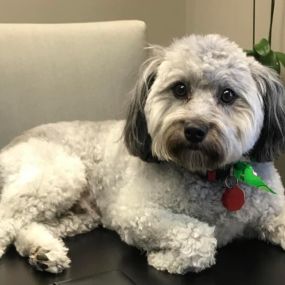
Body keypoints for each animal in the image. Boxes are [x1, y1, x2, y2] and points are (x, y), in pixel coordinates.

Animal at [0, 33, 284, 272]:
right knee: (8, 215)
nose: (194, 130)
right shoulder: (134, 213)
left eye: (227, 95)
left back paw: (42, 252)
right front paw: (164, 259)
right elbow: (200, 237)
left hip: (78, 214)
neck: (211, 175)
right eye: (180, 88)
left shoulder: (274, 211)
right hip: (59, 175)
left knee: (28, 225)